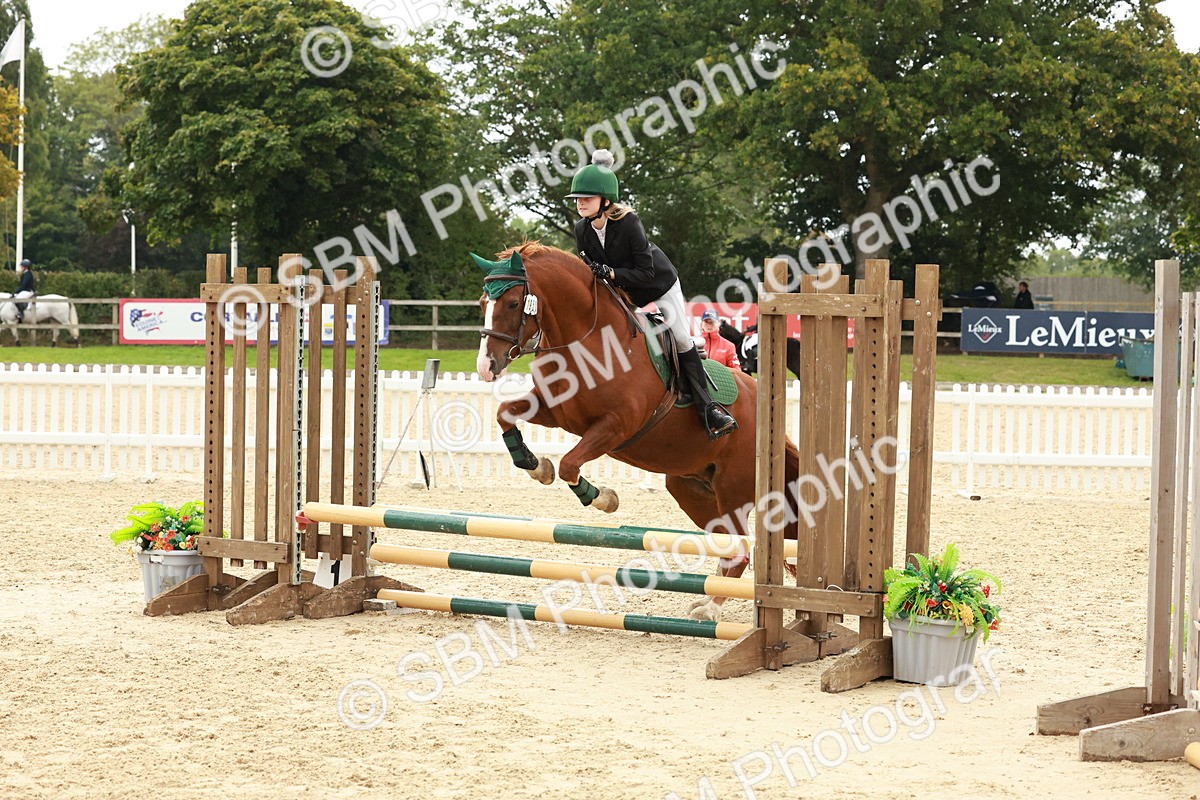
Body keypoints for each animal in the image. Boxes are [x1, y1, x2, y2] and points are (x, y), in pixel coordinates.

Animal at [473, 242, 801, 622]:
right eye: (482, 303)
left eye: (513, 303)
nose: (486, 367)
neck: (586, 341)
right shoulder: (555, 412)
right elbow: (505, 416)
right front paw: (536, 465)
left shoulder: (615, 426)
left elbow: (570, 465)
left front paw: (603, 498)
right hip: (693, 491)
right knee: (730, 549)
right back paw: (706, 601)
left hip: (732, 490)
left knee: (743, 551)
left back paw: (710, 610)